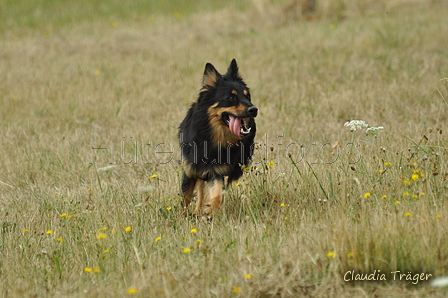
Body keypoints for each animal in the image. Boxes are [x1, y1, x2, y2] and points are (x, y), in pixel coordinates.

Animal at [178, 59, 258, 220]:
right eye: (231, 97)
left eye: (247, 96)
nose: (254, 110)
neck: (212, 137)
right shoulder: (191, 169)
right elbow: (186, 197)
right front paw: (180, 217)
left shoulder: (217, 171)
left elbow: (217, 193)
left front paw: (209, 210)